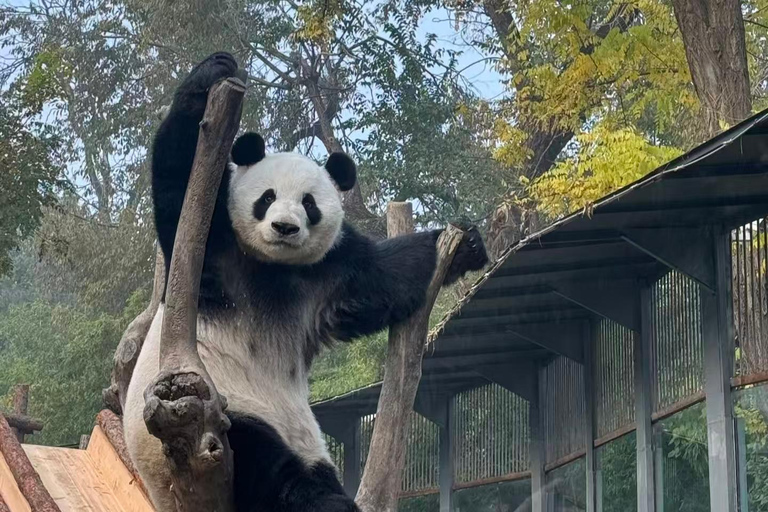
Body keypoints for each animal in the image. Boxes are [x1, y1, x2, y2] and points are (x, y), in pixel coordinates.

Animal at [123, 52, 489, 512]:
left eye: (309, 204)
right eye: (267, 198)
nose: (284, 227)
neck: (273, 266)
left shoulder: (328, 274)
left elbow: (384, 278)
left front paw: (465, 245)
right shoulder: (213, 252)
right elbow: (180, 175)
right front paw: (212, 72)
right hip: (213, 407)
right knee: (266, 463)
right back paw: (323, 501)